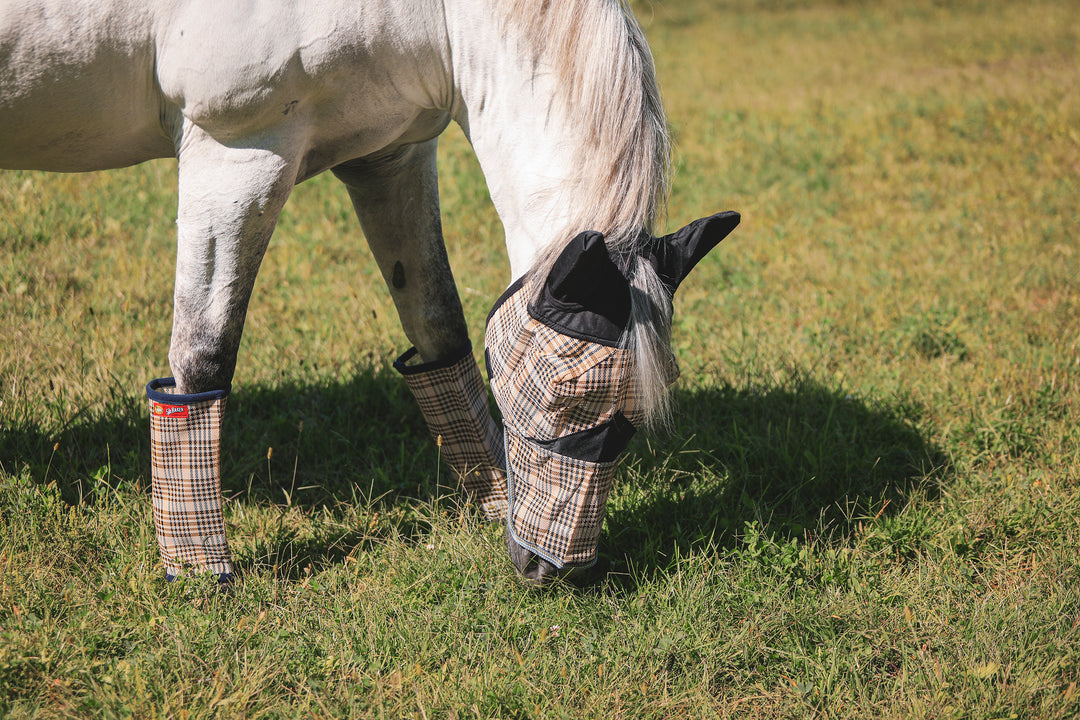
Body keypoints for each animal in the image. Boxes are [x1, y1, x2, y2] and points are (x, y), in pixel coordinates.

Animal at [2, 0, 734, 587]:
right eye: (561, 398)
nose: (548, 569)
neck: (434, 11)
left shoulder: (389, 157)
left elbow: (440, 331)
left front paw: (490, 501)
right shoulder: (235, 152)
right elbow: (202, 360)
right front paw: (200, 570)